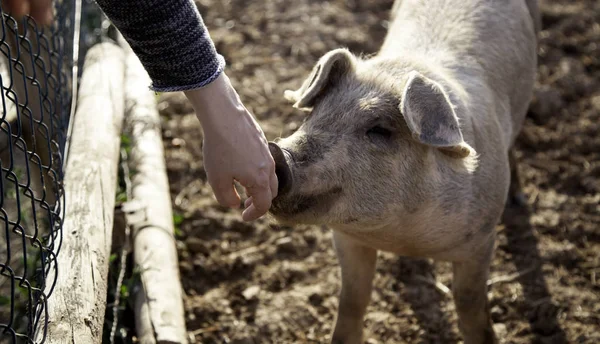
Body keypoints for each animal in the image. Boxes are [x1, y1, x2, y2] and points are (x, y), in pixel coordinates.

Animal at [268, 0, 540, 344]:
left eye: (379, 130)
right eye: (314, 115)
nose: (277, 154)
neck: (400, 234)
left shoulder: (482, 239)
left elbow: (470, 304)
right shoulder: (346, 239)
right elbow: (353, 299)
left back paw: (518, 200)